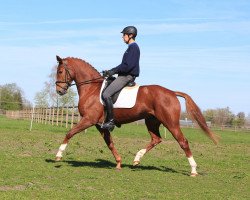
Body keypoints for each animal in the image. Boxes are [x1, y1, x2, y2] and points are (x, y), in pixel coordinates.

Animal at [54, 55, 219, 176]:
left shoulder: (89, 120)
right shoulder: (100, 125)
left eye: (60, 71)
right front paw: (119, 162)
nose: (59, 91)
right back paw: (137, 158)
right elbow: (110, 143)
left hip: (170, 123)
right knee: (156, 139)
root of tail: (172, 92)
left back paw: (193, 170)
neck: (92, 89)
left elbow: (69, 133)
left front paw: (58, 155)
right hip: (152, 121)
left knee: (183, 142)